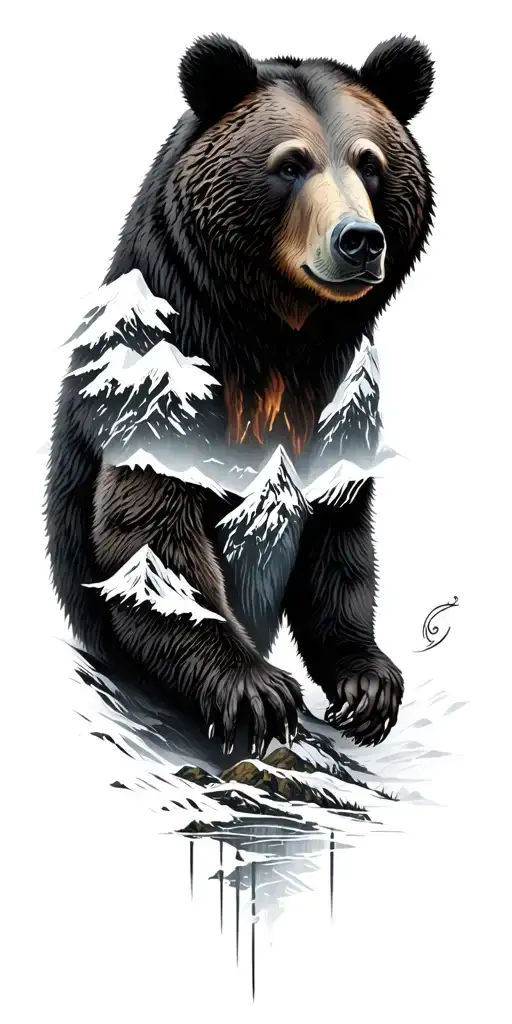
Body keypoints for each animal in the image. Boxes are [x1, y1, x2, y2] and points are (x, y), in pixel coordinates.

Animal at [46, 33, 434, 757]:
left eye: (370, 163)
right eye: (291, 164)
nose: (359, 240)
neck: (277, 337)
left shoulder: (341, 400)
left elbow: (337, 540)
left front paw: (367, 682)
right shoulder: (166, 376)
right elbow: (150, 537)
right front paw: (257, 690)